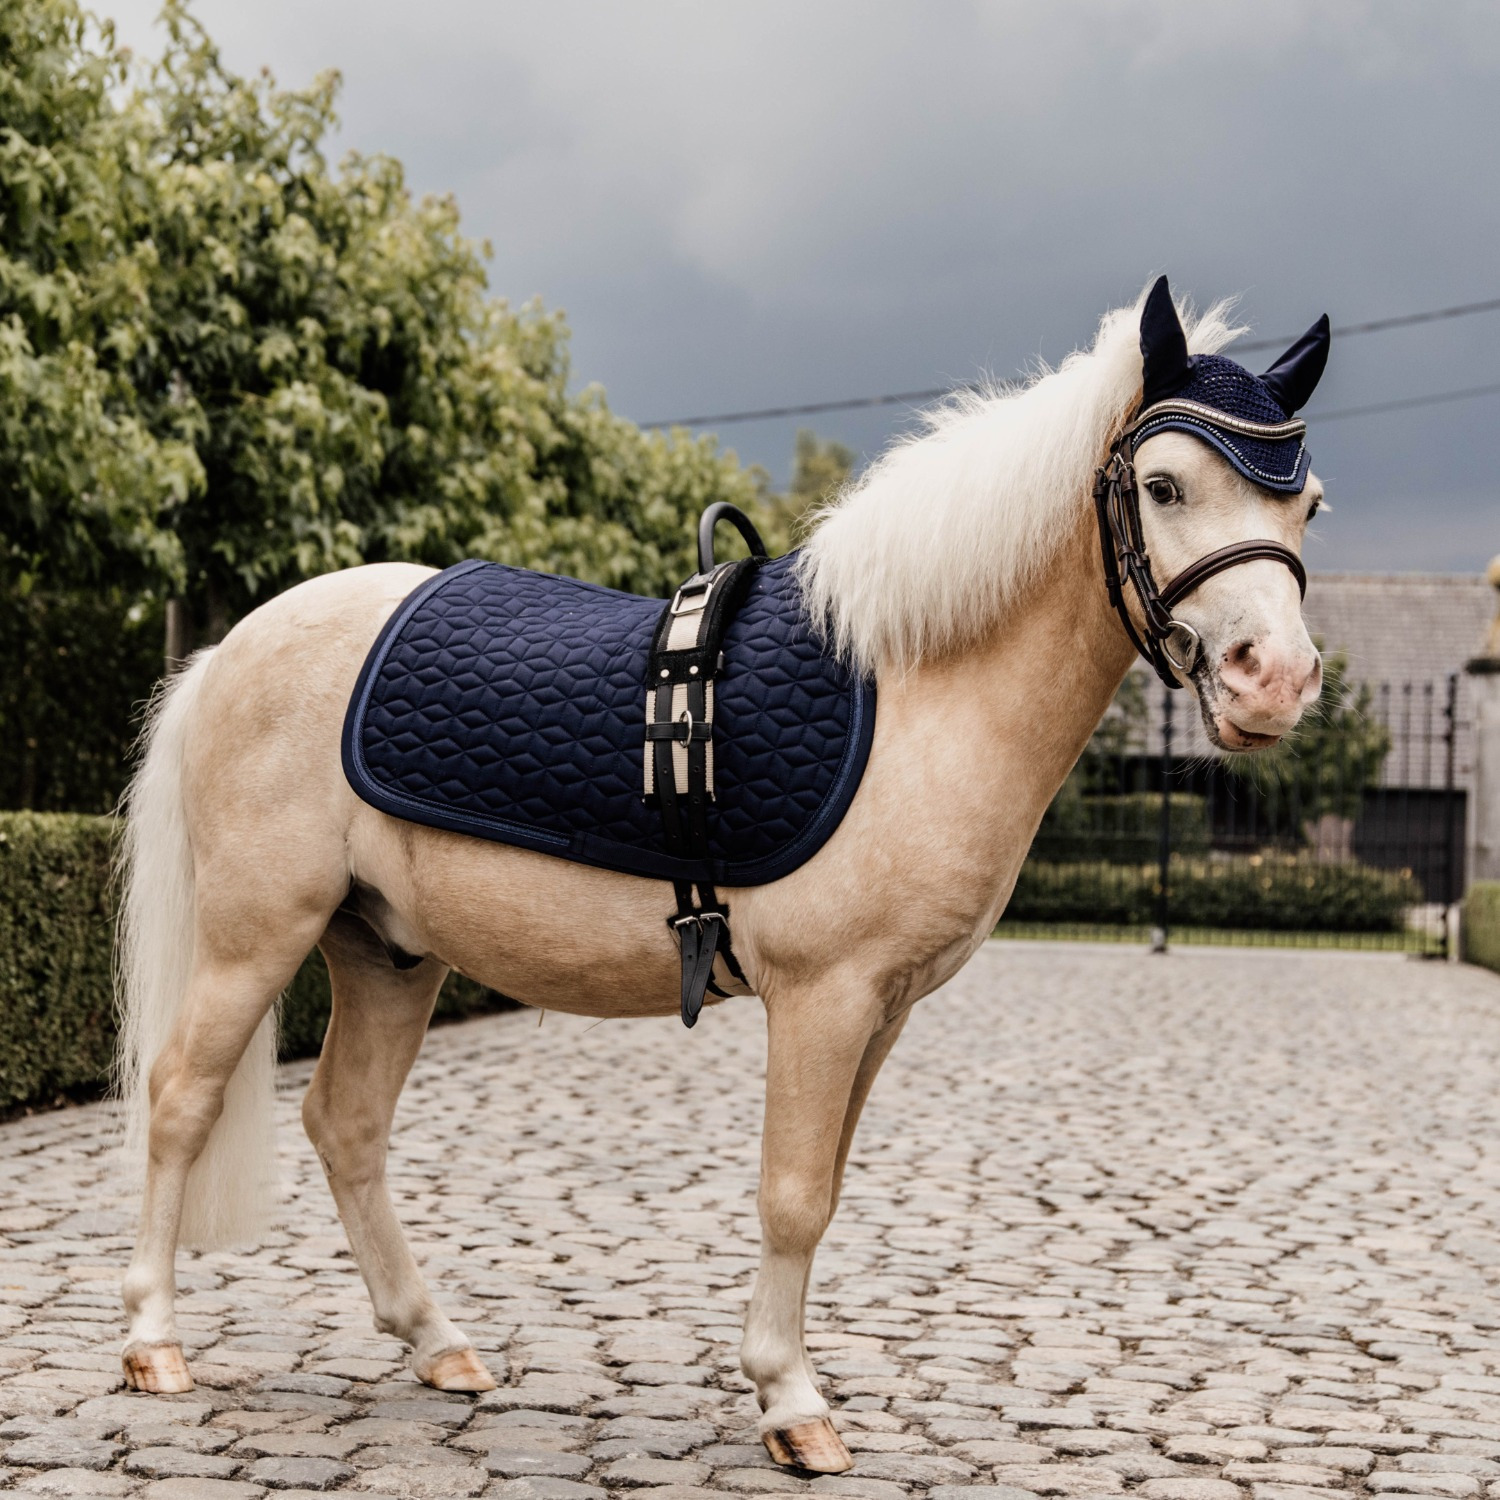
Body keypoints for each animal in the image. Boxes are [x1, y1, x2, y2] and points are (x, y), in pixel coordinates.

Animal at [116, 278, 1328, 1473]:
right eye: (1164, 485)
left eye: (1306, 505)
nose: (1273, 680)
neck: (917, 696)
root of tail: (231, 651)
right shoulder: (824, 999)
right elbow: (791, 1199)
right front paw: (792, 1406)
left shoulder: (882, 1011)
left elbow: (825, 1190)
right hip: (256, 934)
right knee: (180, 1098)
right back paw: (153, 1345)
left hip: (390, 953)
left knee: (347, 1124)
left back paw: (437, 1343)